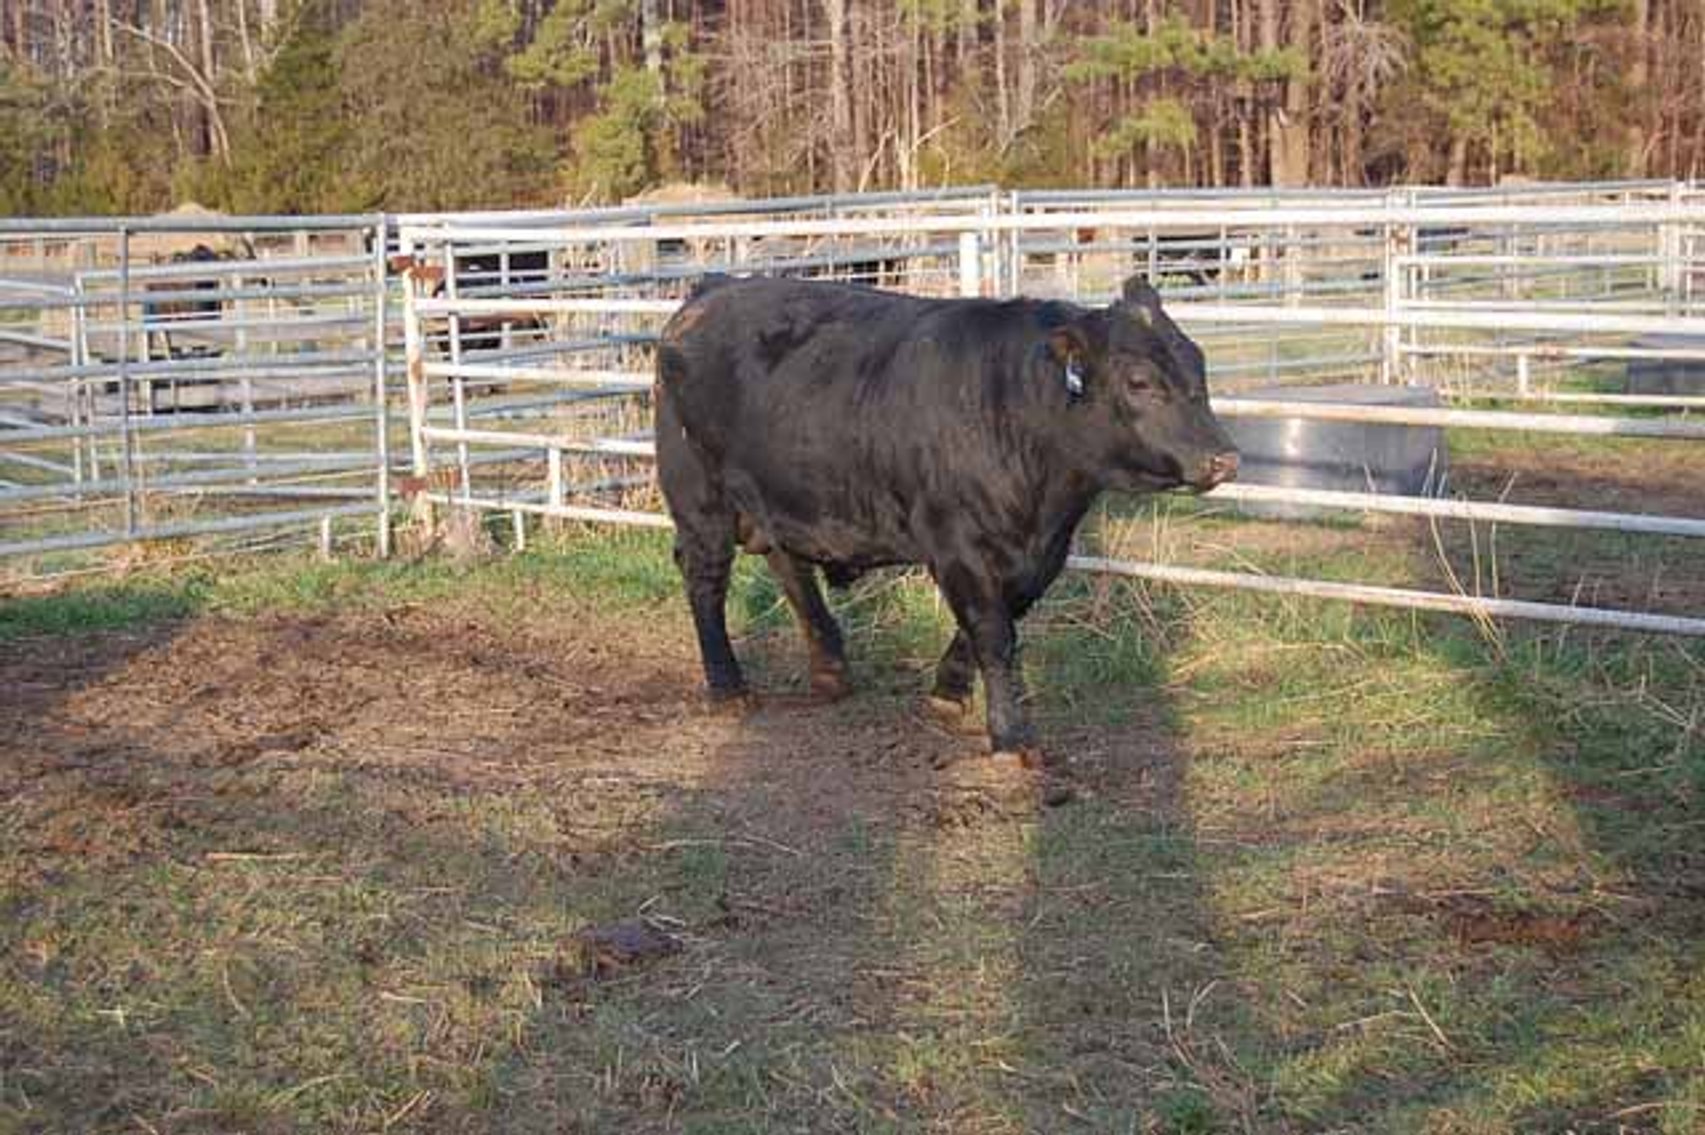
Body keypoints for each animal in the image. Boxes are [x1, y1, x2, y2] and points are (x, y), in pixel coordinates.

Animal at [654, 273, 1239, 765]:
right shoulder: (958, 546)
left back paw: (831, 669)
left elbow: (994, 622)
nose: (1224, 458)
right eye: (1139, 381)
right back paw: (728, 687)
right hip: (700, 499)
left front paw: (948, 692)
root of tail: (712, 290)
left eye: (1198, 365)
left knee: (789, 567)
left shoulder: (1041, 556)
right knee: (705, 580)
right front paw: (1010, 736)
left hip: (777, 496)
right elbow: (993, 633)